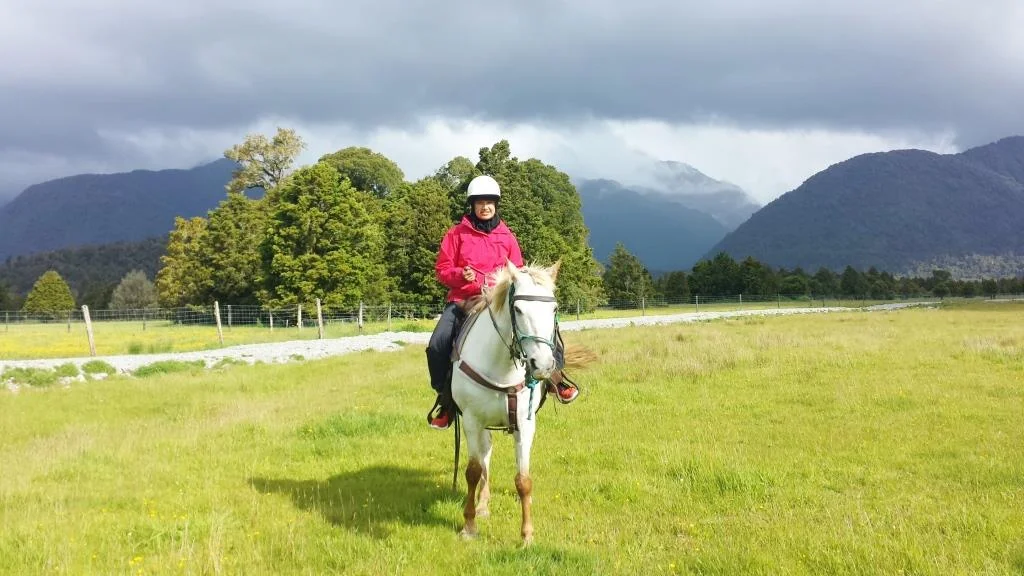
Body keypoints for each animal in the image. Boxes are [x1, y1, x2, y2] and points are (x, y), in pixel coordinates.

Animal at [448, 259, 561, 541]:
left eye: (554, 308)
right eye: (518, 309)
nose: (542, 365)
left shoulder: (525, 424)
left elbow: (523, 480)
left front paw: (527, 535)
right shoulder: (472, 421)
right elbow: (473, 471)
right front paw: (469, 526)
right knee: (484, 457)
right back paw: (482, 506)